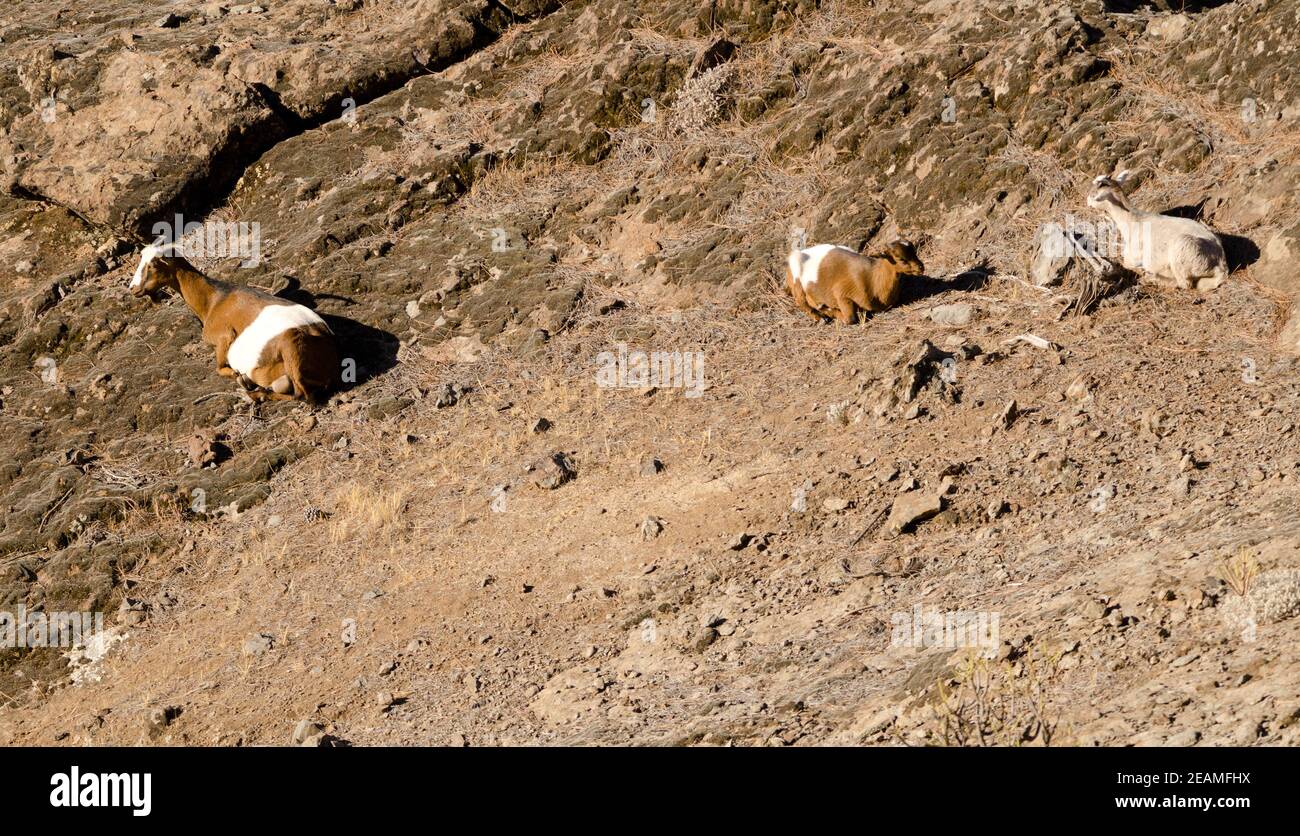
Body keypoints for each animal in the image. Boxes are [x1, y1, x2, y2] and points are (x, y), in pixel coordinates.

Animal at [128, 243, 335, 403]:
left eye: (153, 264)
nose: (133, 289)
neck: (214, 300)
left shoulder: (223, 337)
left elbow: (220, 368)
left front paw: (237, 376)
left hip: (289, 345)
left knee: (303, 395)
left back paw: (250, 390)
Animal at [780, 240, 925, 325]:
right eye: (900, 258)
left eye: (914, 251)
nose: (921, 267)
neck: (871, 278)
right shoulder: (842, 294)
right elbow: (850, 319)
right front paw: (829, 310)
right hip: (797, 284)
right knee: (801, 302)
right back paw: (821, 316)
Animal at [1086, 169, 1227, 292]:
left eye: (1098, 186)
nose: (1087, 200)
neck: (1133, 221)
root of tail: (1221, 264)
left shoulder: (1132, 258)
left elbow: (1126, 264)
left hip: (1183, 250)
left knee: (1184, 283)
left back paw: (1151, 277)